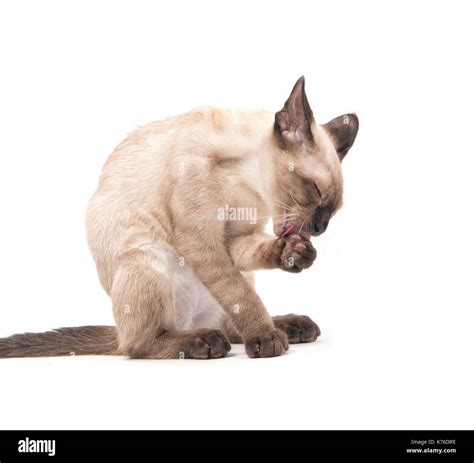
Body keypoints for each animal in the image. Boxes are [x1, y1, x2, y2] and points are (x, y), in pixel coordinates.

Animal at [0, 77, 356, 358]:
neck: (245, 185)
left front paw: (294, 254)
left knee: (229, 326)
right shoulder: (200, 243)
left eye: (334, 210)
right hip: (148, 257)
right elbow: (239, 294)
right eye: (316, 193)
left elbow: (243, 281)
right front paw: (265, 338)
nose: (319, 228)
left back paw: (291, 326)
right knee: (137, 345)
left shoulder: (234, 240)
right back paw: (208, 342)